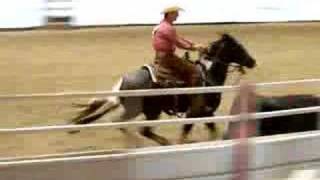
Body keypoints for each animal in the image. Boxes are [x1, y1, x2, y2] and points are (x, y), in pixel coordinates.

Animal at [68, 33, 258, 146]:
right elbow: (186, 132)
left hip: (150, 111)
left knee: (141, 130)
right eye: (238, 47)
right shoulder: (195, 112)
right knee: (126, 125)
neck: (207, 75)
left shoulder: (207, 112)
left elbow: (212, 130)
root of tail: (123, 81)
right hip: (143, 110)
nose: (252, 61)